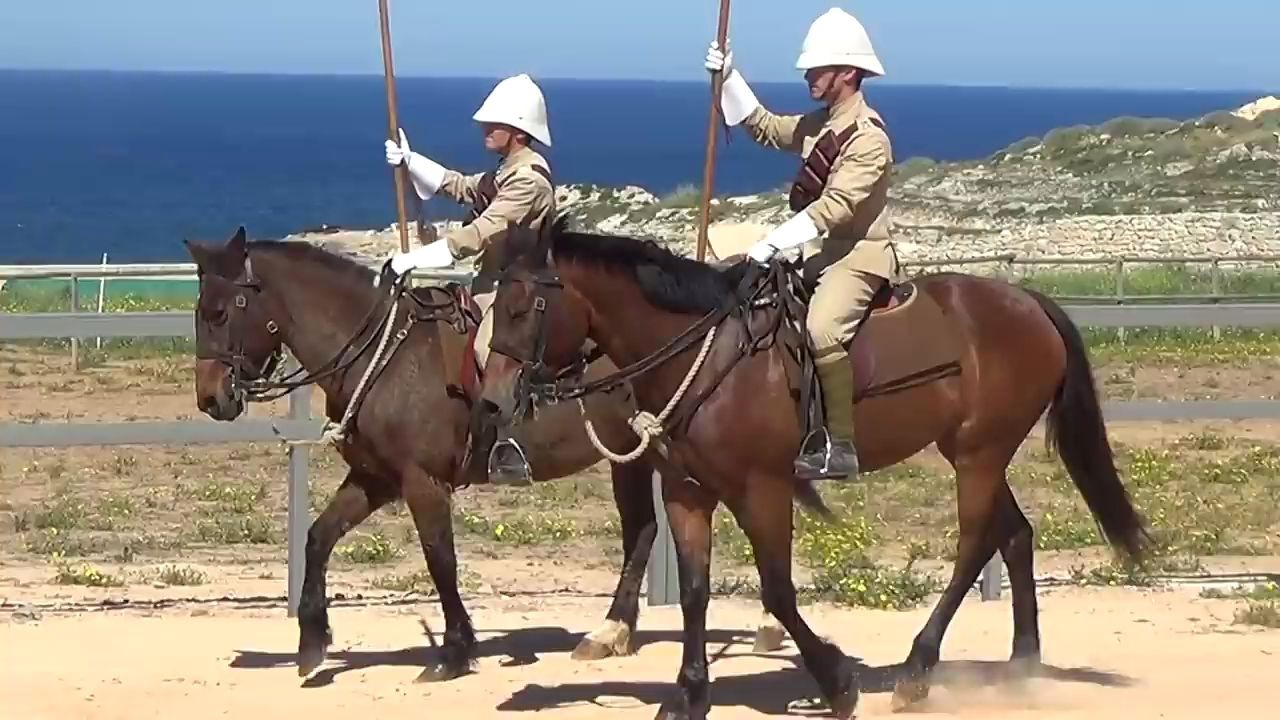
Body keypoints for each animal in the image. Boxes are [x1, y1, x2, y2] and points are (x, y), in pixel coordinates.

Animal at [181, 226, 788, 681]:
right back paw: (612, 632)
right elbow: (318, 537)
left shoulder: (421, 482)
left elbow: (440, 559)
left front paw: (454, 650)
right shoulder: (375, 478)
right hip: (633, 457)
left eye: (219, 311)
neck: (387, 355)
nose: (211, 398)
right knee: (642, 531)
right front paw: (312, 640)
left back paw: (756, 625)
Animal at [478, 219, 1152, 717]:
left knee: (974, 544)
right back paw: (1021, 664)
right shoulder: (687, 492)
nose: (492, 399)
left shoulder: (763, 490)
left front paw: (835, 680)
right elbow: (695, 592)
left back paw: (916, 670)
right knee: (1013, 534)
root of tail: (1026, 300)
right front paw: (688, 693)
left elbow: (777, 591)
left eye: (524, 306)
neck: (708, 356)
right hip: (973, 451)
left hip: (978, 454)